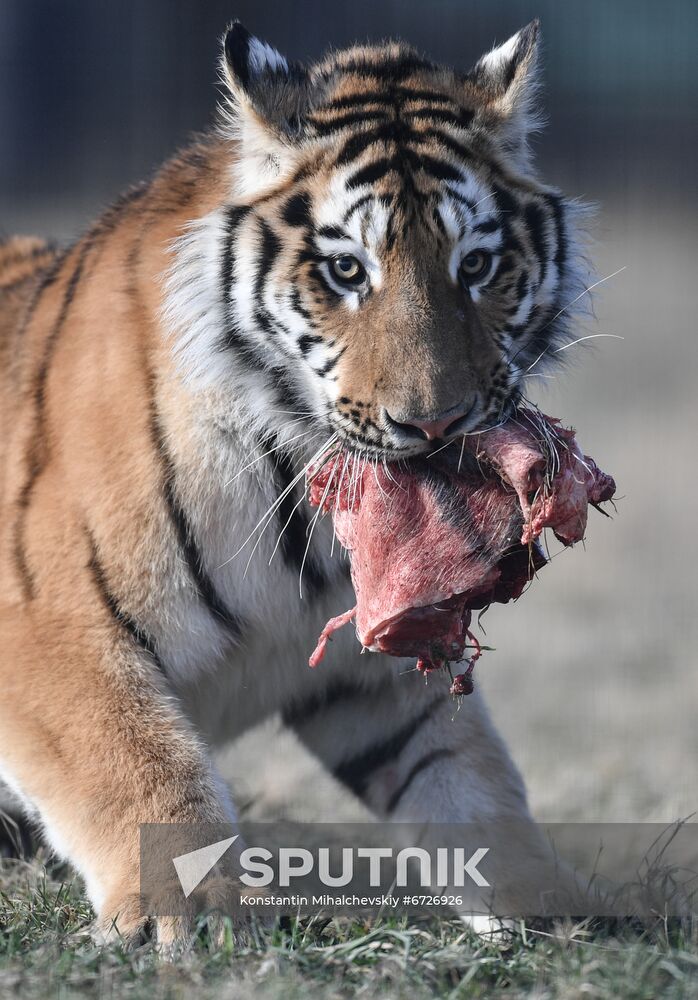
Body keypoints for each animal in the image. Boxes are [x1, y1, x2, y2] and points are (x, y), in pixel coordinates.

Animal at [0, 21, 588, 944]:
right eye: (347, 271)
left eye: (478, 265)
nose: (436, 423)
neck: (294, 473)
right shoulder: (47, 622)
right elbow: (133, 758)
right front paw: (190, 913)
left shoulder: (366, 676)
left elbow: (470, 779)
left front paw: (547, 909)